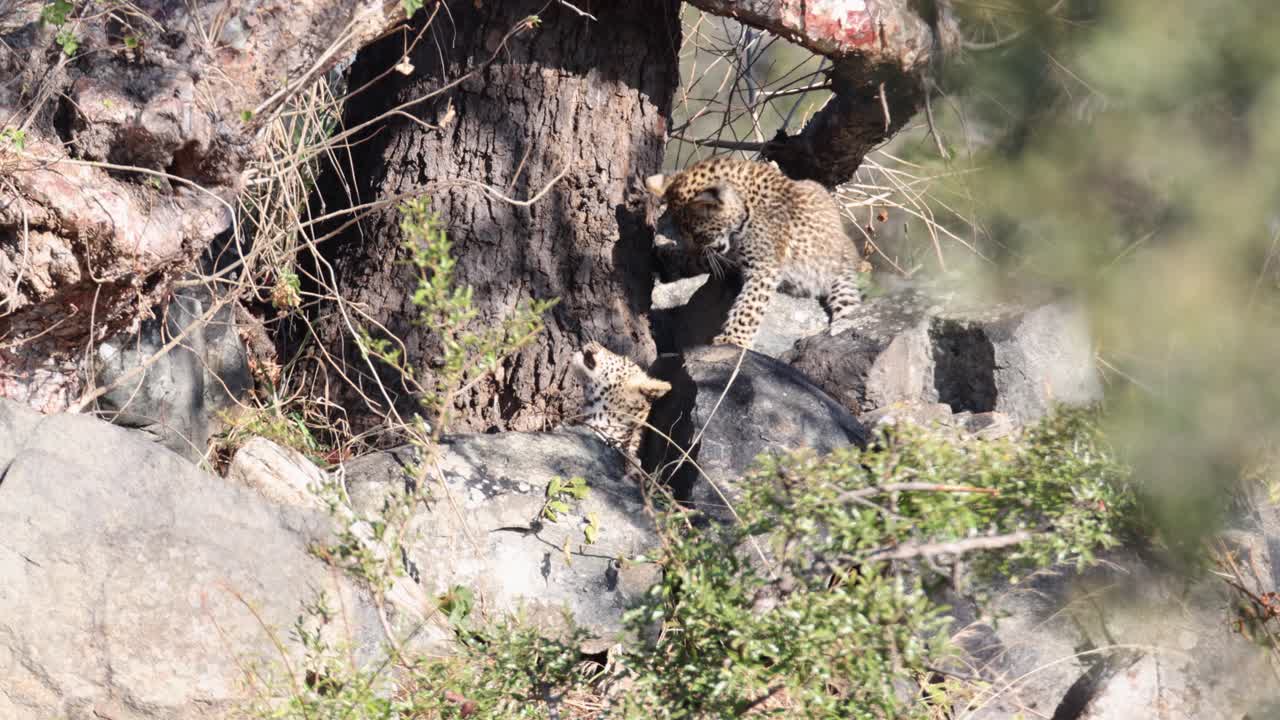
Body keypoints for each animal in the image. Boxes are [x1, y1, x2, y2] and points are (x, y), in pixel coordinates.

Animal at [646, 156, 864, 348]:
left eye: (696, 234)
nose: (693, 248)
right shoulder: (731, 256)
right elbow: (704, 261)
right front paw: (668, 262)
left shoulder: (764, 268)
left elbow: (748, 307)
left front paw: (733, 340)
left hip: (839, 280)